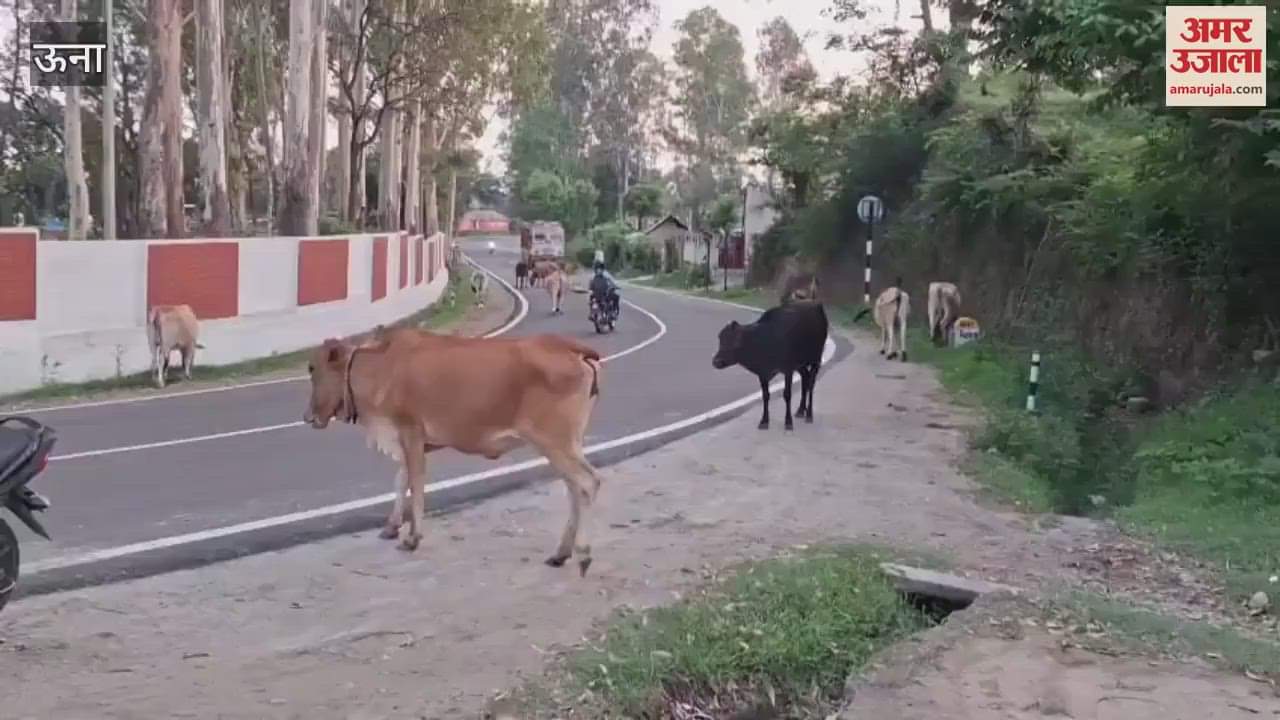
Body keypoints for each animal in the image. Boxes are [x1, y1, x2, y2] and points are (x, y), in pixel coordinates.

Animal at [301, 326, 605, 575]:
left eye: (313, 368)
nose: (307, 417)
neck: (382, 369)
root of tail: (567, 346)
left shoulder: (411, 433)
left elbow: (416, 484)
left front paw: (412, 538)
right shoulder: (409, 441)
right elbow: (401, 480)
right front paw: (391, 526)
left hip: (555, 442)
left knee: (588, 482)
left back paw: (583, 554)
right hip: (565, 444)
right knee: (574, 489)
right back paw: (561, 553)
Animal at [712, 301, 829, 431]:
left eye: (737, 340)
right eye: (720, 339)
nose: (716, 361)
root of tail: (816, 305)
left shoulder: (788, 369)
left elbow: (787, 394)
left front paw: (788, 422)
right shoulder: (762, 373)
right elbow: (765, 395)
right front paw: (764, 421)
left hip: (816, 359)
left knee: (811, 384)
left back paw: (809, 414)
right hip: (800, 364)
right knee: (805, 379)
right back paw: (800, 410)